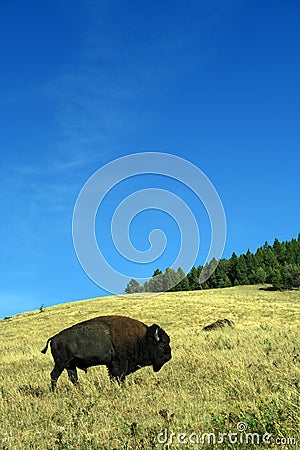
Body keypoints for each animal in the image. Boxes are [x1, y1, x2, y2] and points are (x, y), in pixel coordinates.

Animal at [41, 314, 171, 392]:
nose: (169, 356)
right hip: (60, 364)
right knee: (54, 375)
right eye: (162, 344)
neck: (142, 338)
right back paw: (54, 392)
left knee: (73, 378)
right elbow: (118, 376)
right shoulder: (119, 364)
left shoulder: (112, 365)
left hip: (70, 365)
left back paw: (80, 391)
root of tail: (53, 338)